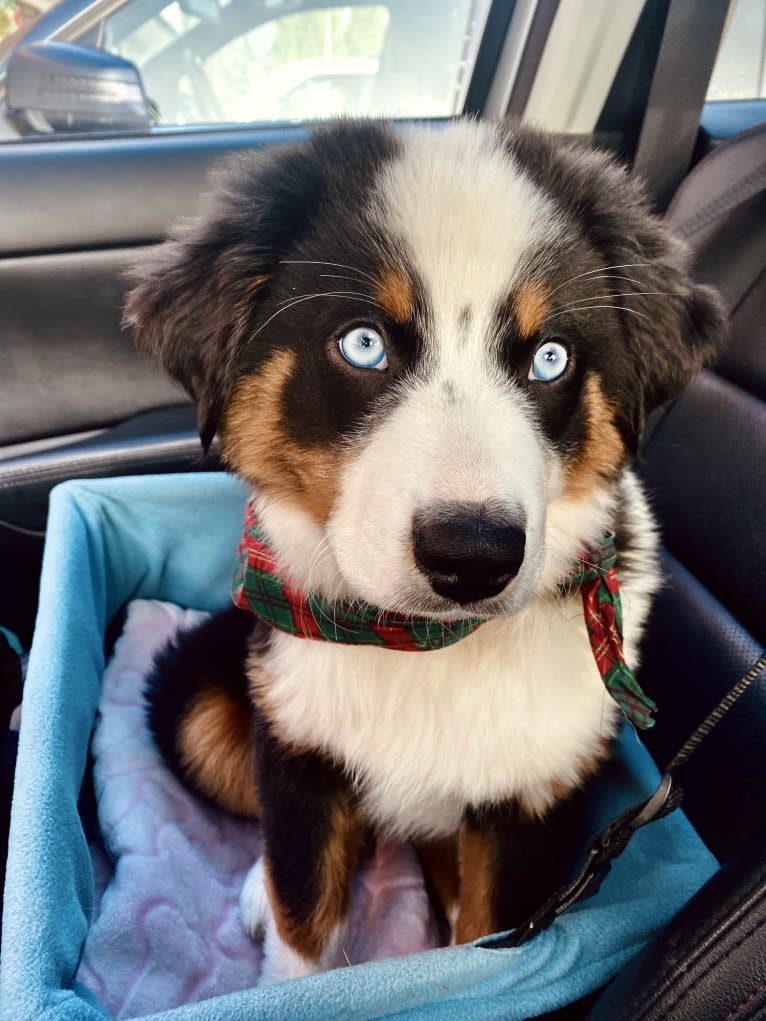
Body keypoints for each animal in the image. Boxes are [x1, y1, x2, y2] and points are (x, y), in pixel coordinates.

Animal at [124, 119, 727, 980]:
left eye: (551, 358)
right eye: (363, 344)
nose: (472, 555)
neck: (424, 647)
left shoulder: (533, 796)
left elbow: (482, 940)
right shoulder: (298, 741)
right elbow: (302, 921)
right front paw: (288, 947)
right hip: (200, 701)